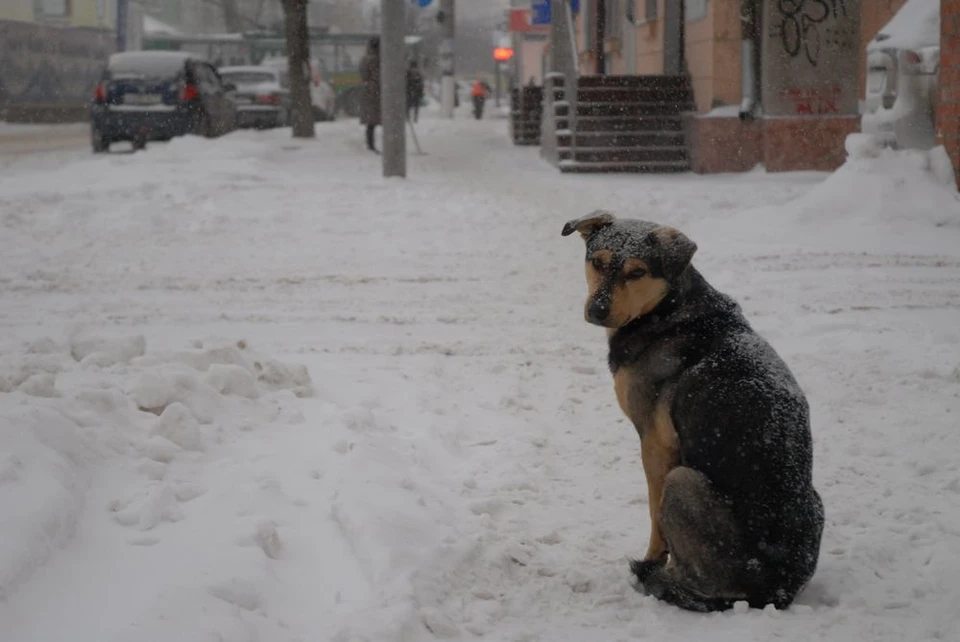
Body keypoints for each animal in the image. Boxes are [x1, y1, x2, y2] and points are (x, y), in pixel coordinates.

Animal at [564, 210, 824, 608]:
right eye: (598, 262)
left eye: (637, 272)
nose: (597, 310)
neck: (665, 309)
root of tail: (775, 587)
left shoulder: (655, 443)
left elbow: (655, 519)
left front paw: (652, 560)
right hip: (817, 501)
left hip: (683, 480)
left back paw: (659, 580)